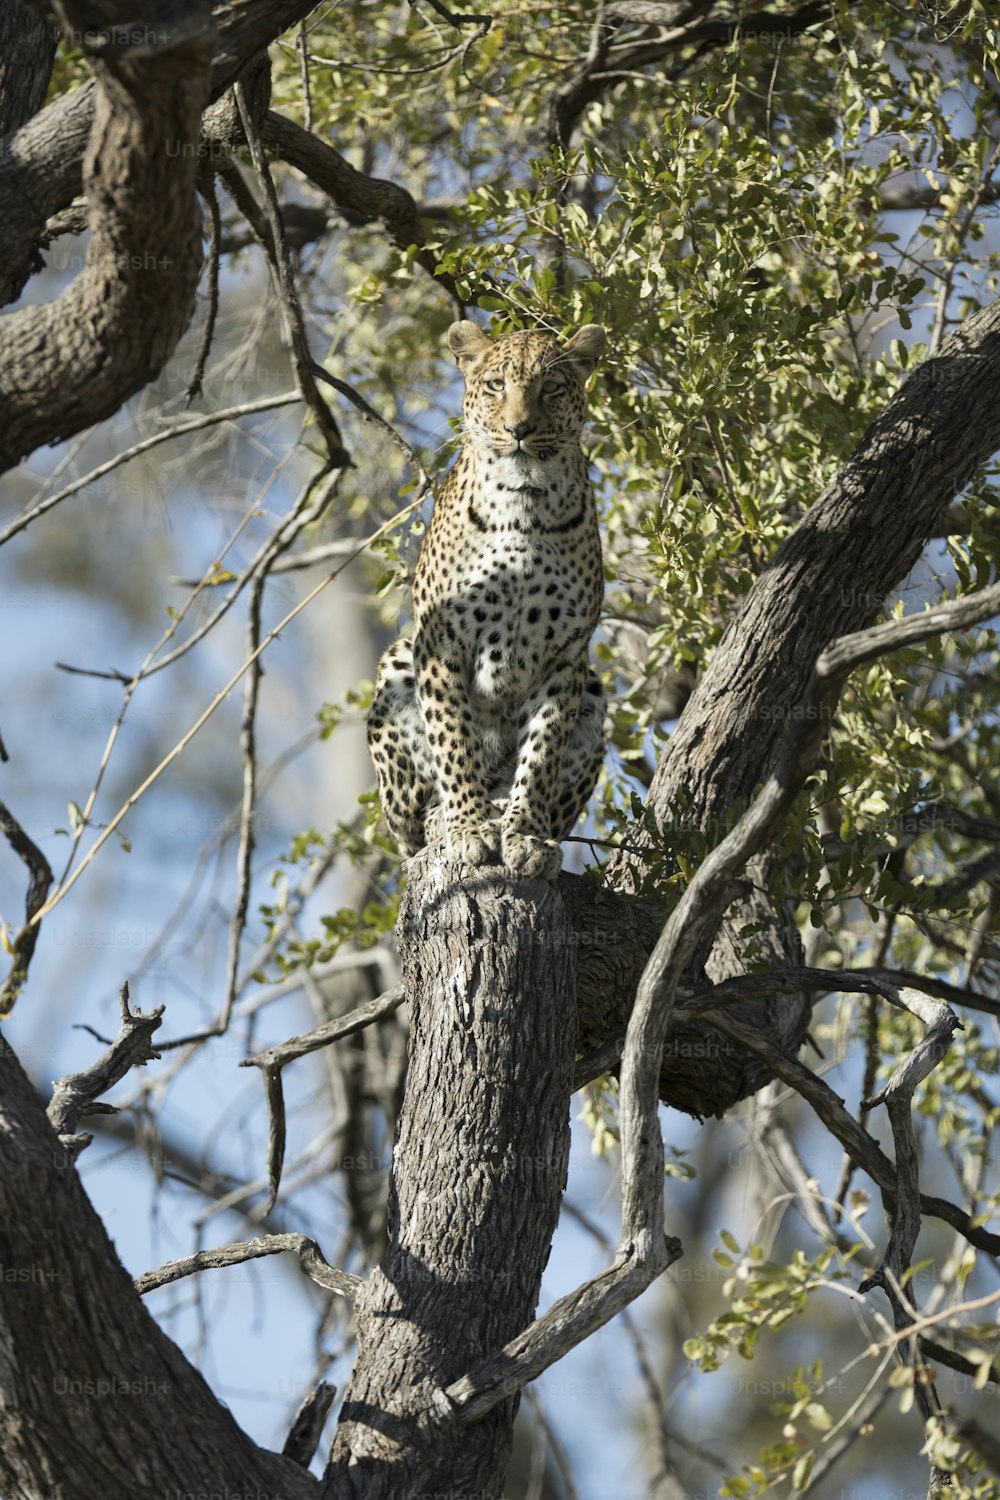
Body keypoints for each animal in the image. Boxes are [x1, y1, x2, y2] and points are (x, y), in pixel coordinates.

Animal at [365, 316, 605, 876]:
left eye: (551, 387)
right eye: (496, 385)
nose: (519, 429)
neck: (525, 502)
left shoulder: (565, 655)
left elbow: (542, 752)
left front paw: (526, 836)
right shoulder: (442, 640)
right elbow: (454, 738)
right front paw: (470, 829)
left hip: (595, 693)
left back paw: (504, 810)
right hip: (398, 664)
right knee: (412, 828)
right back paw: (448, 819)